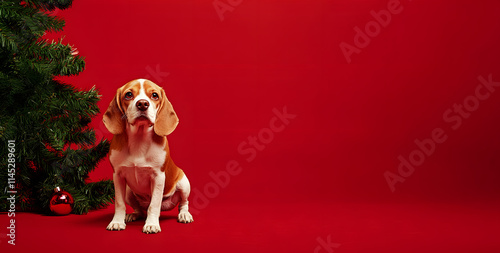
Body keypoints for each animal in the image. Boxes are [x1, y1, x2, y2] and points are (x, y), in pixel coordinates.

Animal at [103, 78, 193, 233]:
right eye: (128, 95)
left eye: (154, 95)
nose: (142, 104)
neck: (139, 139)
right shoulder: (118, 176)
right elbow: (119, 203)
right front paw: (117, 222)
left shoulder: (158, 177)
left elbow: (154, 205)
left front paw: (151, 224)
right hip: (128, 192)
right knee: (139, 209)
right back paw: (133, 215)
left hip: (184, 183)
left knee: (183, 203)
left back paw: (184, 215)